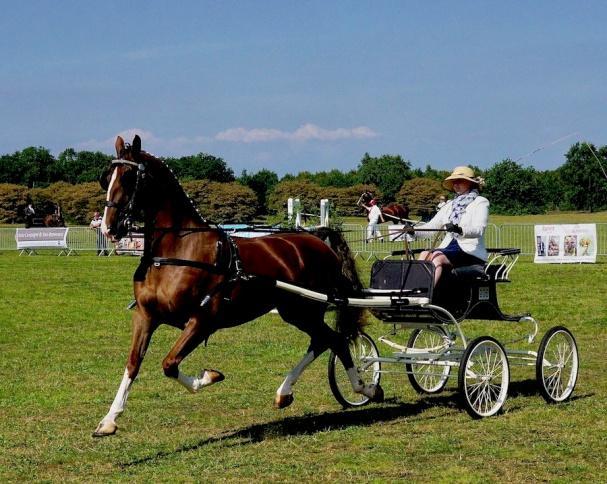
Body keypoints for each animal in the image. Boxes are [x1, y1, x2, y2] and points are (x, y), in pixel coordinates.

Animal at [92, 134, 382, 436]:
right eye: (107, 178)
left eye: (128, 177)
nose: (108, 228)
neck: (177, 251)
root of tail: (317, 239)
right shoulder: (146, 316)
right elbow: (133, 363)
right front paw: (109, 419)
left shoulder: (202, 321)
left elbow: (169, 364)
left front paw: (209, 376)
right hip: (296, 312)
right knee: (325, 340)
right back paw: (286, 392)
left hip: (306, 310)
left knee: (334, 340)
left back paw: (365, 388)